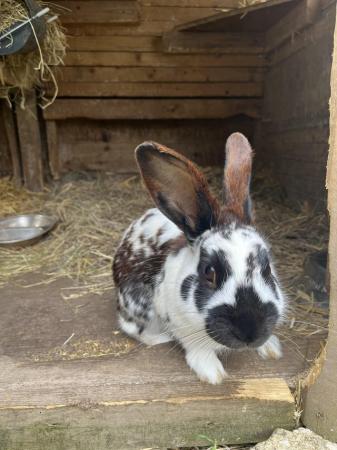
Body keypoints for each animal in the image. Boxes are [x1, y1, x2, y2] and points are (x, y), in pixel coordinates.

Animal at [112, 133, 284, 384]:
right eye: (209, 273)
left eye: (267, 269)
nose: (250, 332)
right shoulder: (178, 321)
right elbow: (196, 347)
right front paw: (213, 373)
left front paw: (270, 348)